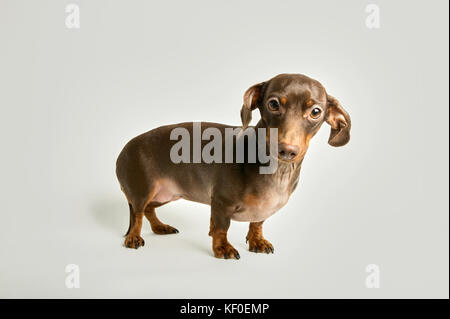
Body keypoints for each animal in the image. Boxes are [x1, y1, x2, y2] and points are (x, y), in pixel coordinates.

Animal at [114, 74, 350, 258]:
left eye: (316, 112)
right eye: (273, 104)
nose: (287, 150)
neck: (276, 171)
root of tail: (122, 151)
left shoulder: (262, 210)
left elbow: (257, 223)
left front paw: (257, 241)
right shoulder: (220, 203)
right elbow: (221, 227)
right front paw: (222, 248)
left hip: (167, 194)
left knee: (148, 210)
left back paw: (160, 227)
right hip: (143, 189)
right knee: (138, 213)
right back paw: (134, 237)